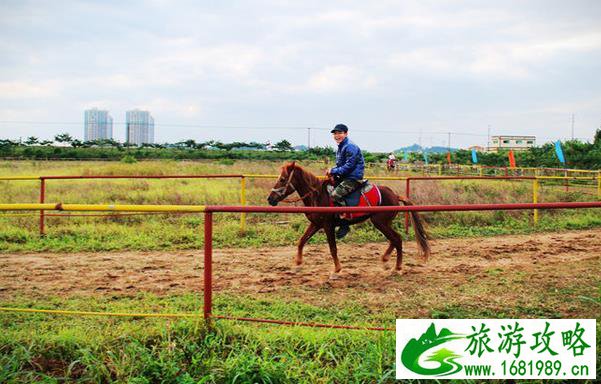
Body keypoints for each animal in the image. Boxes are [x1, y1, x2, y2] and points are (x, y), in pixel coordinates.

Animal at [264, 162, 428, 272]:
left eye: (283, 179)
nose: (270, 199)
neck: (318, 196)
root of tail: (394, 195)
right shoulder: (316, 224)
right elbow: (301, 241)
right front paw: (298, 263)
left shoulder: (328, 226)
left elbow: (332, 248)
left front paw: (336, 270)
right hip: (383, 223)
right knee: (394, 239)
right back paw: (386, 259)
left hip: (380, 222)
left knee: (397, 239)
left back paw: (397, 266)